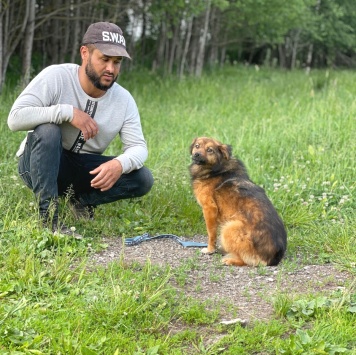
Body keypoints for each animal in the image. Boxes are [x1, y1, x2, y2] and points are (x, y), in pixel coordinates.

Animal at [189, 138, 286, 268]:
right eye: (197, 146)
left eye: (210, 150)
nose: (196, 154)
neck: (216, 168)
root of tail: (273, 258)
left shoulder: (209, 208)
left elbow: (211, 234)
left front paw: (210, 250)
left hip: (229, 228)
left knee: (249, 261)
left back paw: (230, 260)